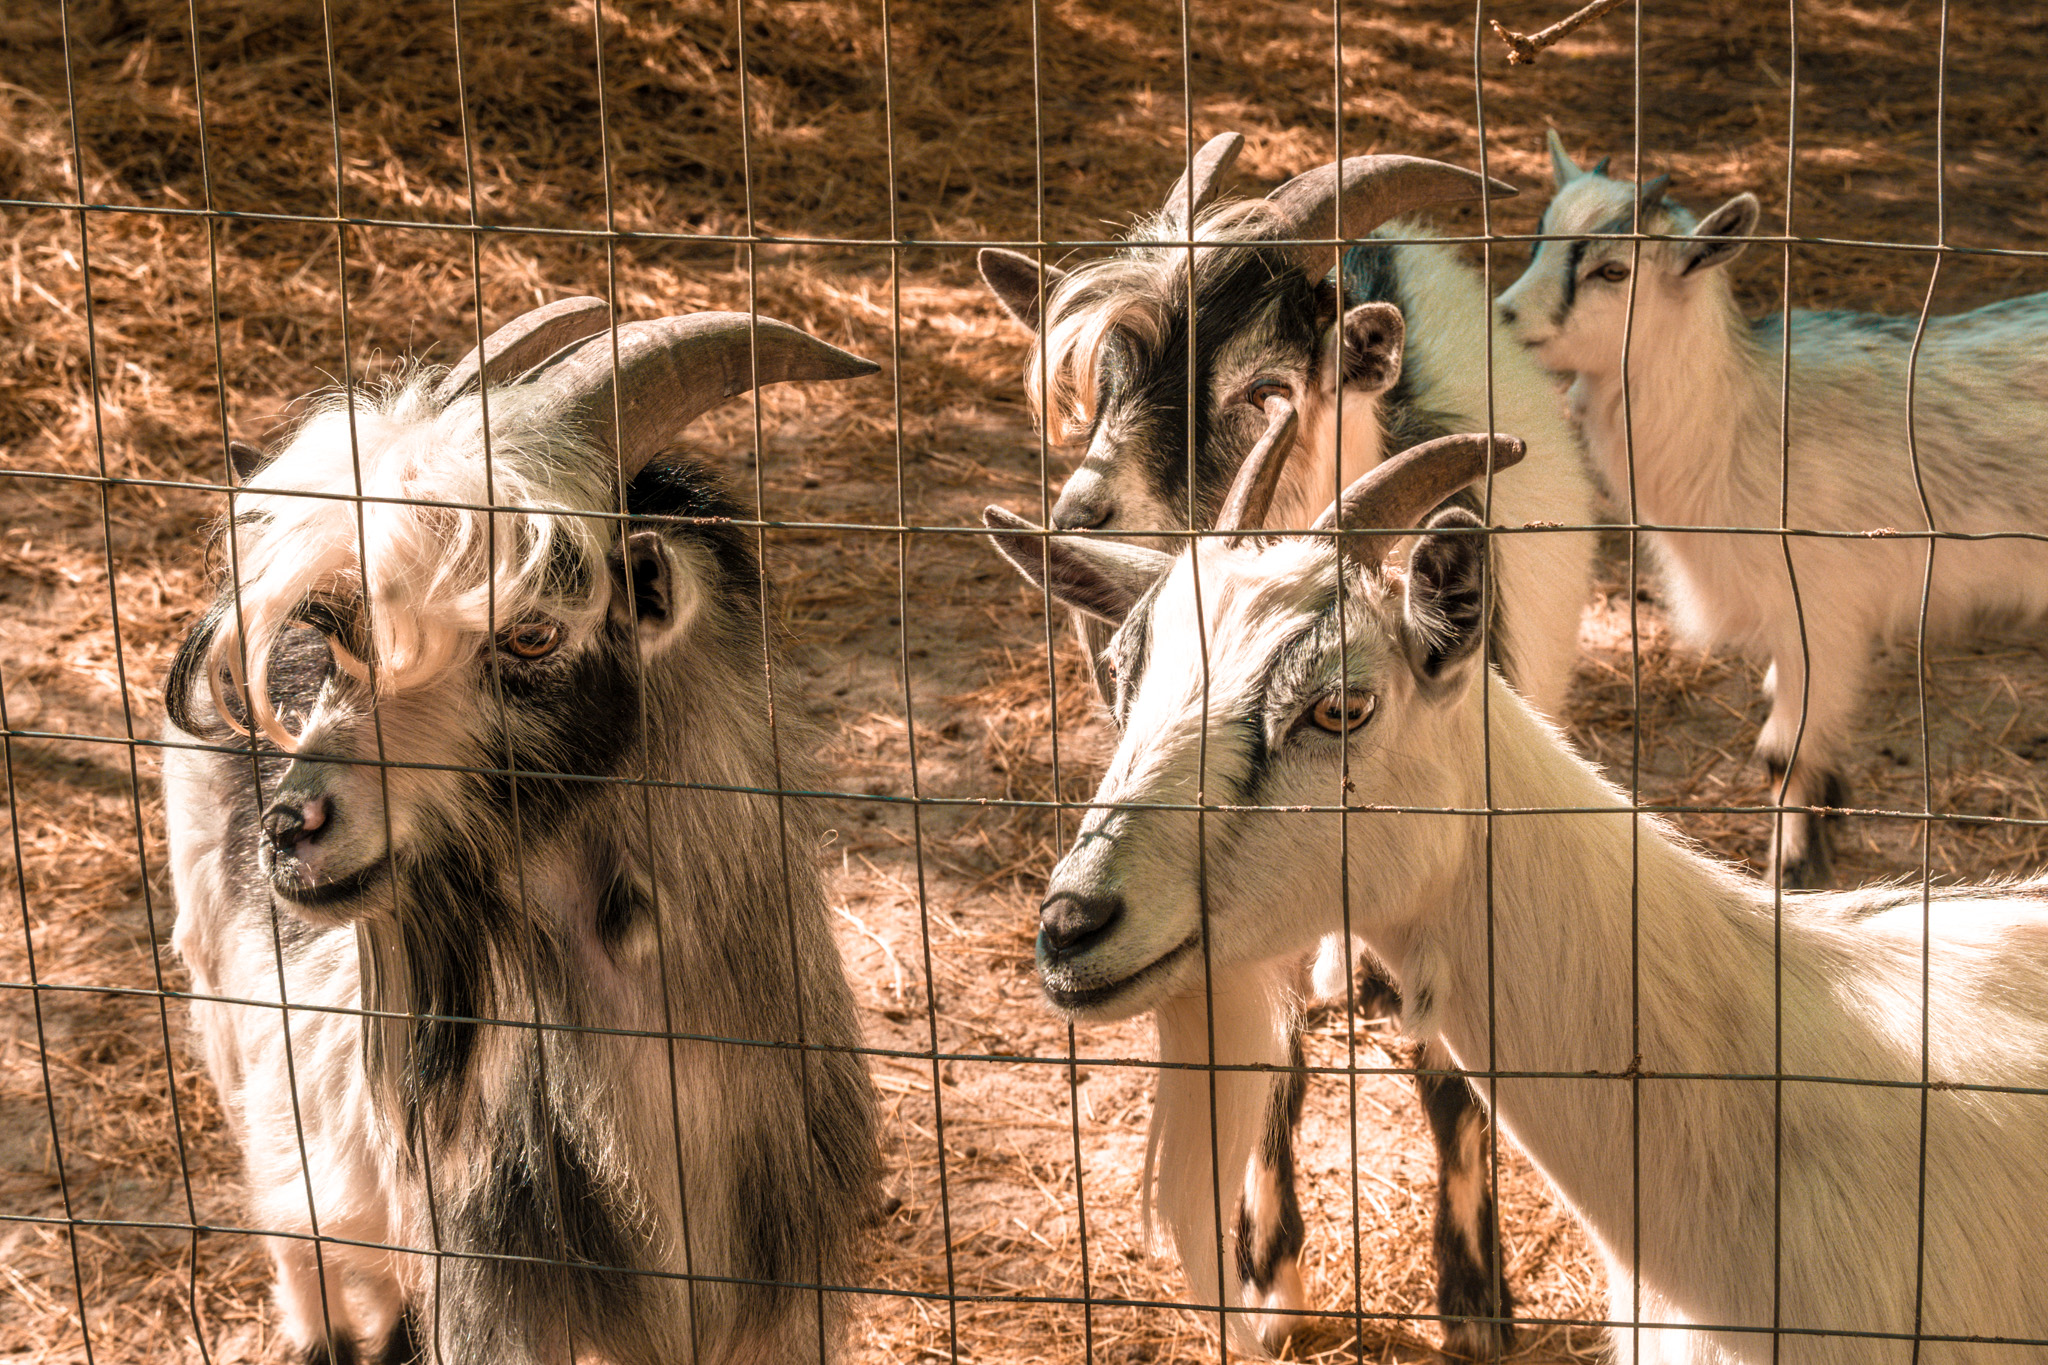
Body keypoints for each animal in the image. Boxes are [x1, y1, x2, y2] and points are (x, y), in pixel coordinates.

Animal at [979, 135, 1597, 1355]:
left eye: (1264, 393)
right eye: (1099, 390)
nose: (1079, 521)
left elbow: (1449, 1065)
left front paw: (1476, 1304)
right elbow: (1263, 1055)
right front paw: (1270, 1282)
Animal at [1495, 132, 2048, 888]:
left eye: (1613, 270)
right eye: (1539, 239)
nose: (1503, 315)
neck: (1739, 422)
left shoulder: (1822, 611)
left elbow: (1780, 752)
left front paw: (1793, 870)